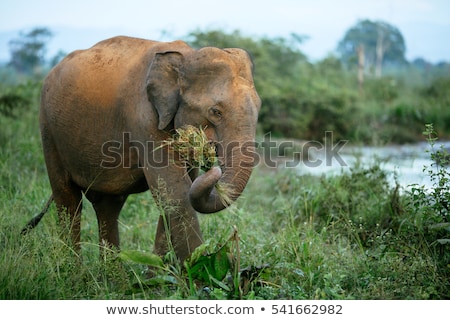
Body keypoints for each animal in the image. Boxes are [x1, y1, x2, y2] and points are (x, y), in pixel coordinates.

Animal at [32, 35, 260, 262]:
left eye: (258, 109)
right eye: (215, 112)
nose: (214, 169)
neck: (186, 57)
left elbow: (177, 192)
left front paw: (160, 271)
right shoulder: (143, 118)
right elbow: (175, 192)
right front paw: (199, 268)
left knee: (108, 205)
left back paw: (111, 272)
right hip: (49, 129)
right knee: (68, 200)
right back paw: (72, 269)